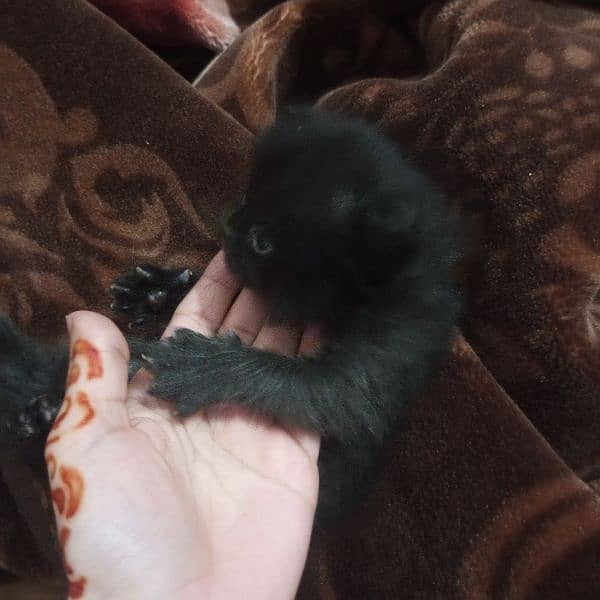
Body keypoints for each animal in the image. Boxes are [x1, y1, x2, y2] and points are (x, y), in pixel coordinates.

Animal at [0, 108, 462, 524]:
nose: (229, 227)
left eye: (263, 243)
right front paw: (157, 289)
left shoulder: (388, 349)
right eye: (245, 199)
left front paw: (200, 366)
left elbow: (304, 381)